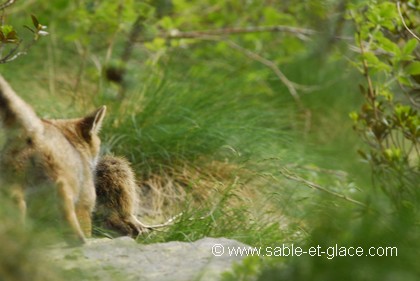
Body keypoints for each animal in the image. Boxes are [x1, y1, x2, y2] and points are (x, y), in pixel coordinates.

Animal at [0, 74, 105, 243]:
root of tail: (33, 130)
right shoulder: (84, 204)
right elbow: (86, 226)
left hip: (12, 190)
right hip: (65, 184)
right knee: (65, 206)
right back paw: (77, 239)